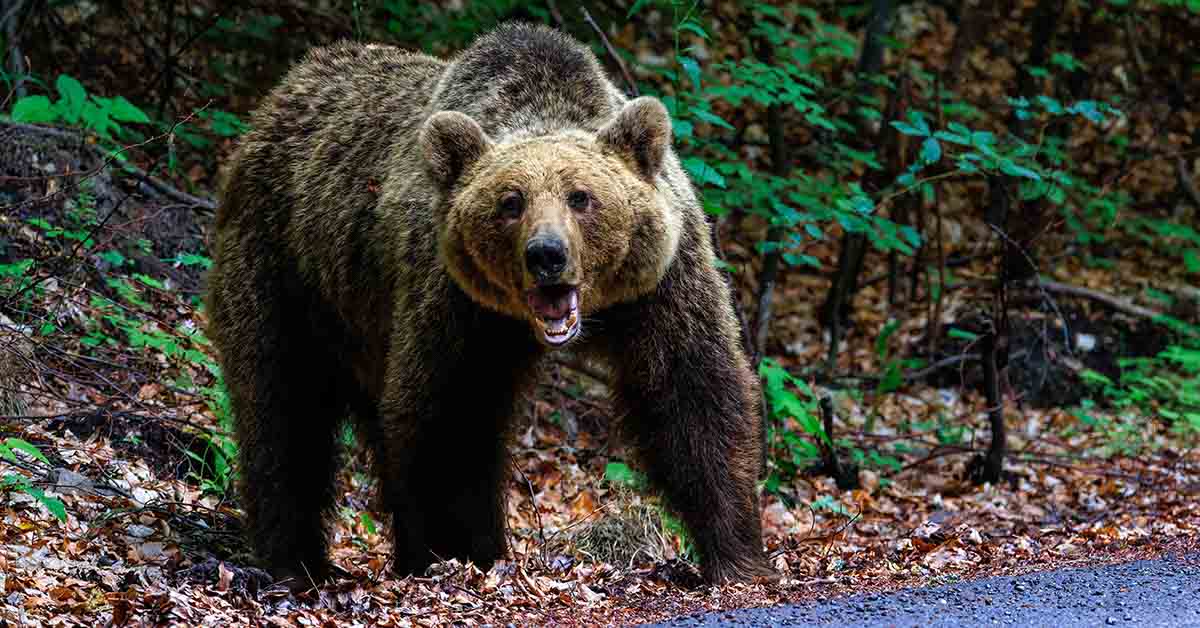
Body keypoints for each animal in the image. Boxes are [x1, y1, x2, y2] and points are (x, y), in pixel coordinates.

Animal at [206, 23, 772, 587]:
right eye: (511, 202)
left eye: (581, 197)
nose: (547, 254)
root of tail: (278, 97)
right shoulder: (455, 301)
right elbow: (453, 415)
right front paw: (464, 552)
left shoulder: (660, 283)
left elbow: (692, 390)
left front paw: (735, 553)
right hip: (285, 270)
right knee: (282, 408)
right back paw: (297, 561)